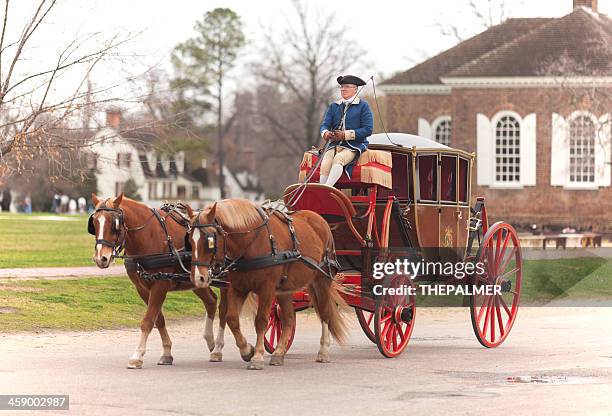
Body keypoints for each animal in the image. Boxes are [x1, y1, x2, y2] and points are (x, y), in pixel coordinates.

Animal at [88, 193, 218, 368]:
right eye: (94, 222)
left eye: (114, 224)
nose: (100, 258)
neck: (149, 235)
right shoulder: (142, 288)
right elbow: (159, 320)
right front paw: (167, 353)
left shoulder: (160, 285)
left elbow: (148, 321)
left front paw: (137, 356)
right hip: (198, 280)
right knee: (211, 301)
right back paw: (212, 343)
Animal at [184, 199, 346, 370]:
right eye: (190, 240)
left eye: (210, 239)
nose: (198, 277)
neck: (250, 243)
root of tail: (320, 220)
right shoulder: (238, 288)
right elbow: (231, 318)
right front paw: (246, 350)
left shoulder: (267, 289)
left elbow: (261, 320)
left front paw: (257, 356)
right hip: (285, 289)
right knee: (288, 318)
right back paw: (279, 353)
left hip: (322, 281)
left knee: (325, 313)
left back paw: (323, 351)